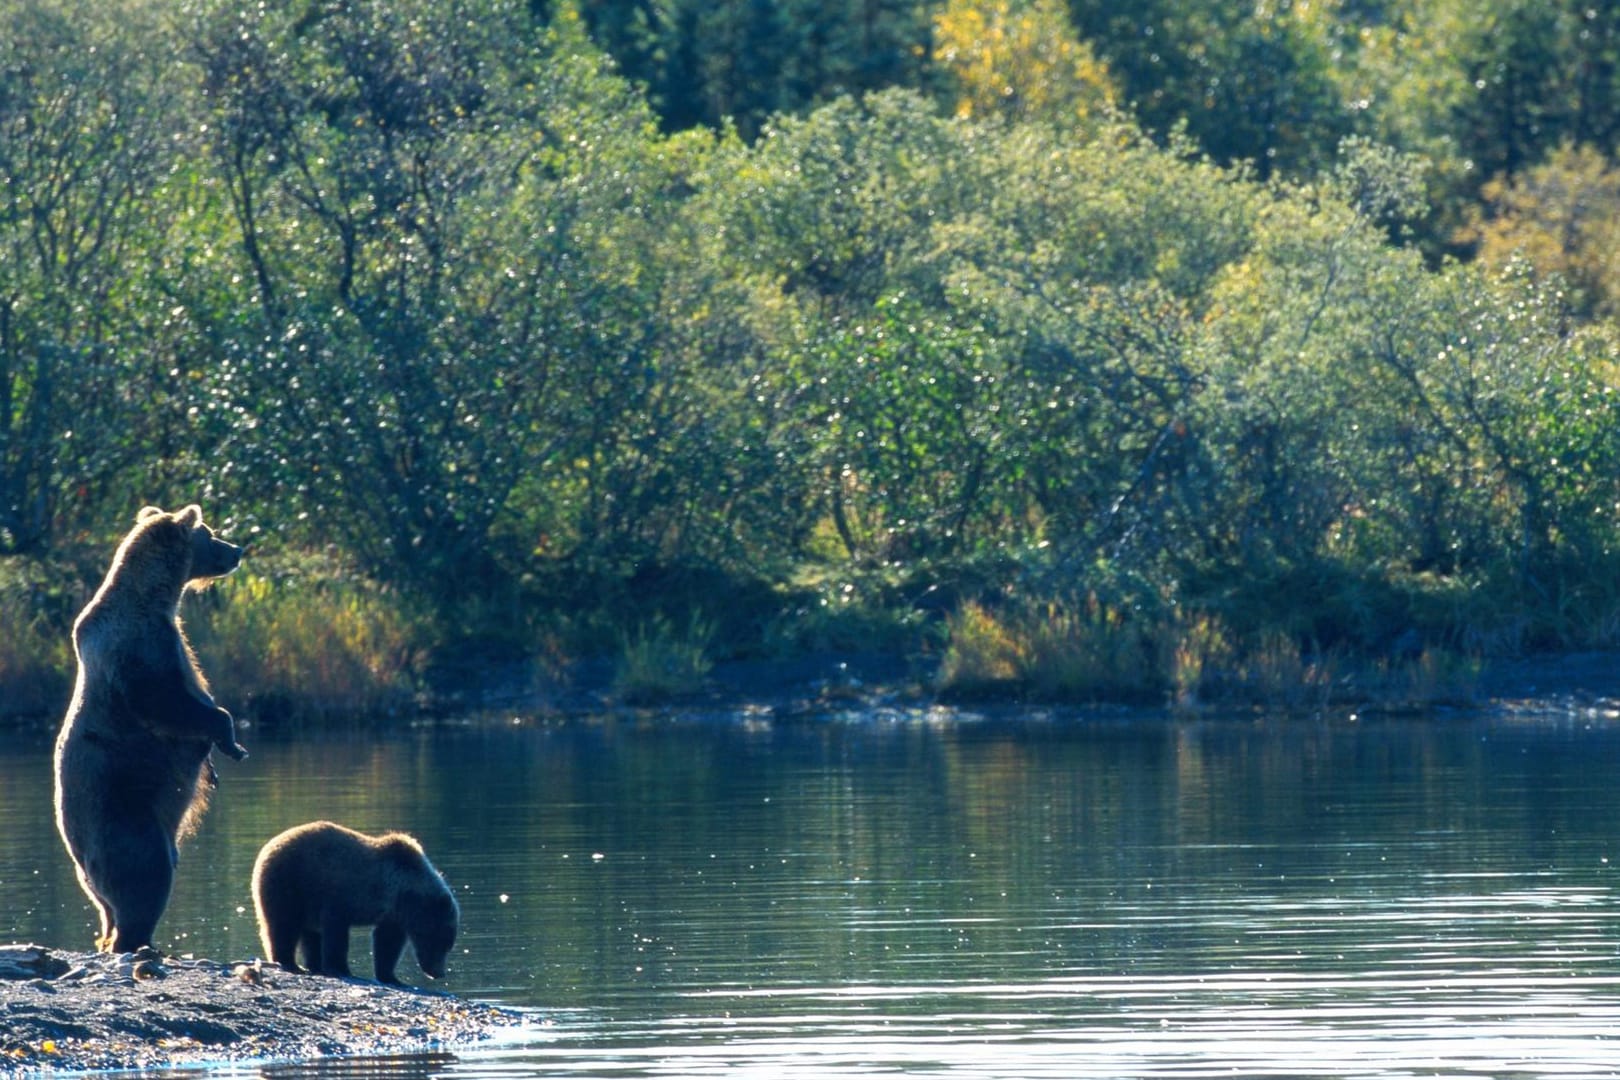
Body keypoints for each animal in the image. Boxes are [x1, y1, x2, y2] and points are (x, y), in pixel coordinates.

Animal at [53, 508, 246, 952]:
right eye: (210, 533)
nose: (238, 550)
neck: (153, 597)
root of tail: (83, 866)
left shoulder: (166, 637)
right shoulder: (138, 647)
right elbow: (167, 700)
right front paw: (230, 740)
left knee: (113, 903)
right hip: (124, 817)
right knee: (146, 875)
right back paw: (137, 940)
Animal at [249, 819, 463, 990]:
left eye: (448, 943)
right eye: (441, 941)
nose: (439, 973)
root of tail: (268, 846)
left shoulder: (392, 915)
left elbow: (387, 943)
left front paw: (391, 977)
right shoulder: (342, 895)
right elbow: (336, 933)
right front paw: (340, 968)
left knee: (308, 934)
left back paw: (313, 965)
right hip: (289, 883)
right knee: (283, 925)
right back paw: (289, 962)